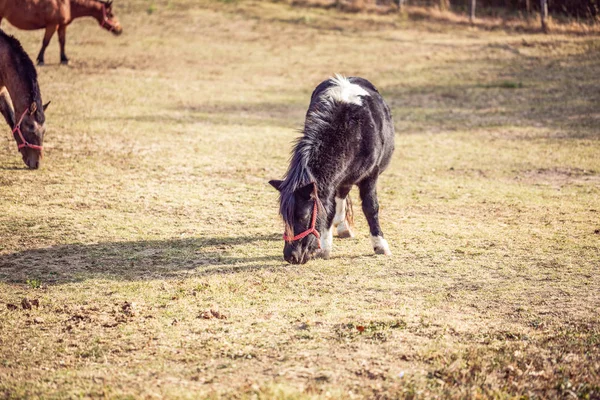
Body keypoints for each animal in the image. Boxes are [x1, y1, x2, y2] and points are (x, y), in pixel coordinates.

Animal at [270, 74, 394, 266]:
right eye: (284, 218)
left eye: (303, 216)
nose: (291, 256)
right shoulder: (332, 181)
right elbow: (329, 208)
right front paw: (325, 247)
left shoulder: (370, 176)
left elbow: (370, 207)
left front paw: (380, 245)